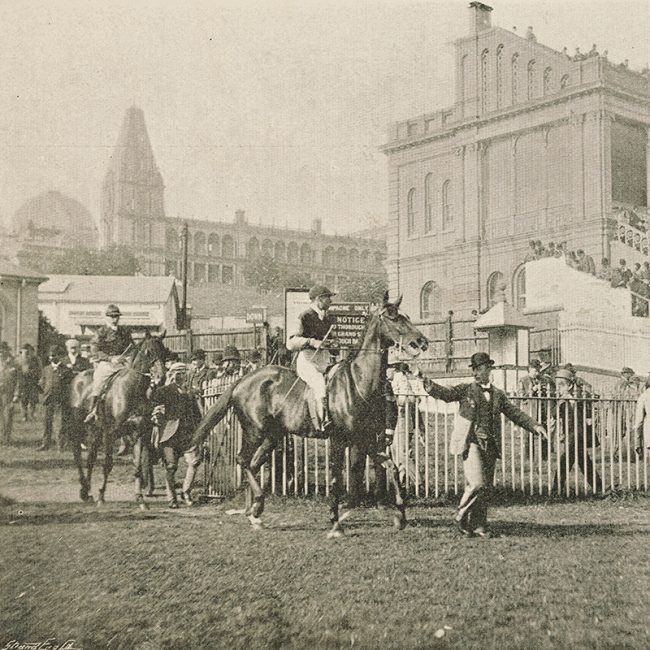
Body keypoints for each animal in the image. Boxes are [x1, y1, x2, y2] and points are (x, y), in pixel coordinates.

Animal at [69, 334, 167, 506]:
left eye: (164, 351)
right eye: (148, 352)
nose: (161, 378)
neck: (132, 390)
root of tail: (78, 377)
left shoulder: (138, 433)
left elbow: (137, 465)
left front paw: (140, 498)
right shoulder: (110, 433)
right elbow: (108, 464)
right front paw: (101, 496)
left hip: (95, 430)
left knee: (91, 458)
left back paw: (87, 491)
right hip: (79, 427)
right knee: (77, 454)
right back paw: (84, 488)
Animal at [190, 296, 428, 536]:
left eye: (406, 316)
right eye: (393, 317)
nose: (422, 341)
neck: (359, 382)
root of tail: (243, 380)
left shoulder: (365, 440)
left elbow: (391, 468)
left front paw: (400, 515)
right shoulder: (339, 440)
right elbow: (336, 480)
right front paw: (335, 522)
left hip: (272, 436)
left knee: (254, 464)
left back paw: (254, 513)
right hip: (254, 432)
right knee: (243, 460)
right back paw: (256, 505)